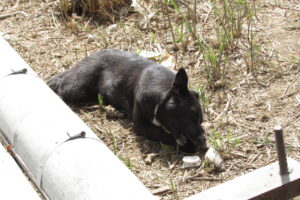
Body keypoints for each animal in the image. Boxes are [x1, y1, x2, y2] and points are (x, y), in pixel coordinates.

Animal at [48, 49, 207, 152]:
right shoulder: (142, 126)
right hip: (78, 87)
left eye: (200, 119)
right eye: (193, 115)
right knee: (61, 86)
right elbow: (164, 135)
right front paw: (188, 147)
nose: (203, 142)